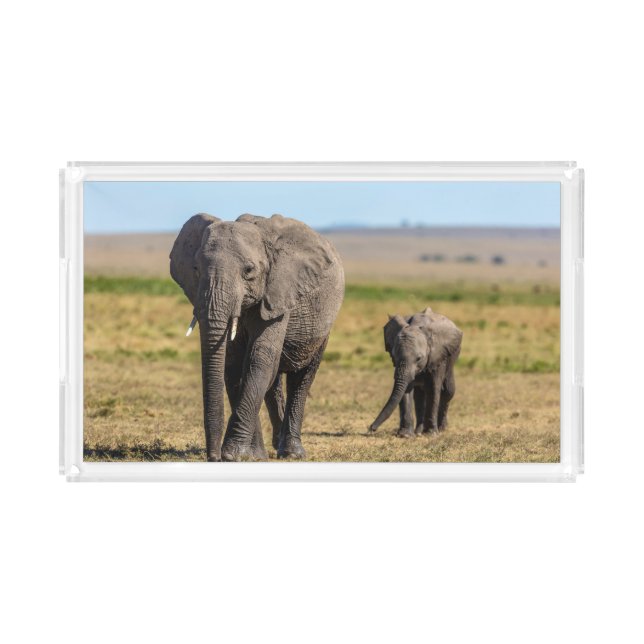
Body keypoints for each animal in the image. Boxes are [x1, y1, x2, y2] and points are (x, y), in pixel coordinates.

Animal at [170, 213, 345, 462]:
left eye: (249, 271)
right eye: (195, 268)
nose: (213, 457)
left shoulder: (278, 294)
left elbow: (258, 360)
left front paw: (233, 455)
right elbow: (233, 366)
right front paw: (253, 456)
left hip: (323, 326)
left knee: (302, 377)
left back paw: (292, 453)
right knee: (274, 381)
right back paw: (276, 446)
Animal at [369, 307, 462, 437]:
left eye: (419, 358)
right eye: (394, 356)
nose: (371, 428)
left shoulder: (437, 355)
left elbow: (434, 387)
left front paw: (431, 434)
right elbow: (406, 389)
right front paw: (405, 435)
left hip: (452, 355)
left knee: (448, 391)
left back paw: (441, 429)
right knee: (419, 395)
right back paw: (418, 431)